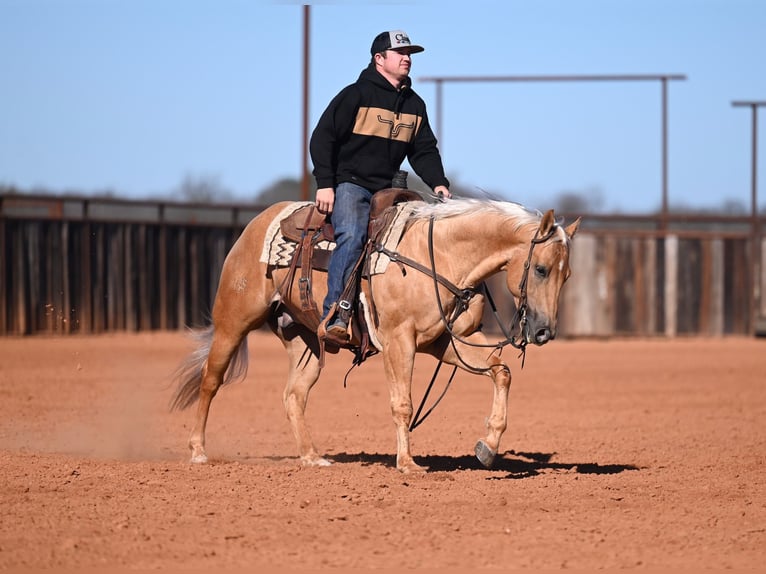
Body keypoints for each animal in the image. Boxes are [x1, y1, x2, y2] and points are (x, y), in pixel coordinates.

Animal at [170, 197, 580, 473]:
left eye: (567, 275)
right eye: (541, 269)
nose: (544, 331)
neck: (441, 258)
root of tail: (258, 223)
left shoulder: (446, 342)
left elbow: (502, 371)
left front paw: (488, 445)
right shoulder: (400, 341)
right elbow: (403, 403)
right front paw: (407, 463)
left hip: (306, 341)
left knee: (294, 395)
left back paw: (312, 457)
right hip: (233, 321)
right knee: (211, 380)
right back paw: (198, 451)